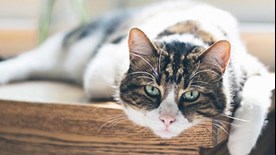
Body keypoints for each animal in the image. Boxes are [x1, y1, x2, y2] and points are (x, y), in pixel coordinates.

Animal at [0, 0, 274, 154]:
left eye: (191, 95)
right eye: (152, 90)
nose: (167, 120)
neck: (189, 29)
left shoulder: (253, 66)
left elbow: (256, 95)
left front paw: (239, 145)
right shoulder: (101, 64)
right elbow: (105, 82)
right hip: (66, 51)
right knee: (27, 60)